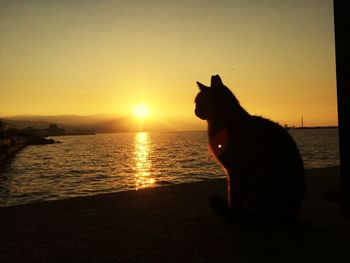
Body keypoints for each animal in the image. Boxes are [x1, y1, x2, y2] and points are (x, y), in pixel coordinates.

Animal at [196, 75, 304, 224]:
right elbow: (232, 194)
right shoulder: (231, 172)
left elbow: (234, 195)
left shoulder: (236, 169)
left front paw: (233, 215)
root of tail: (291, 215)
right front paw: (234, 213)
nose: (194, 110)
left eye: (199, 102)